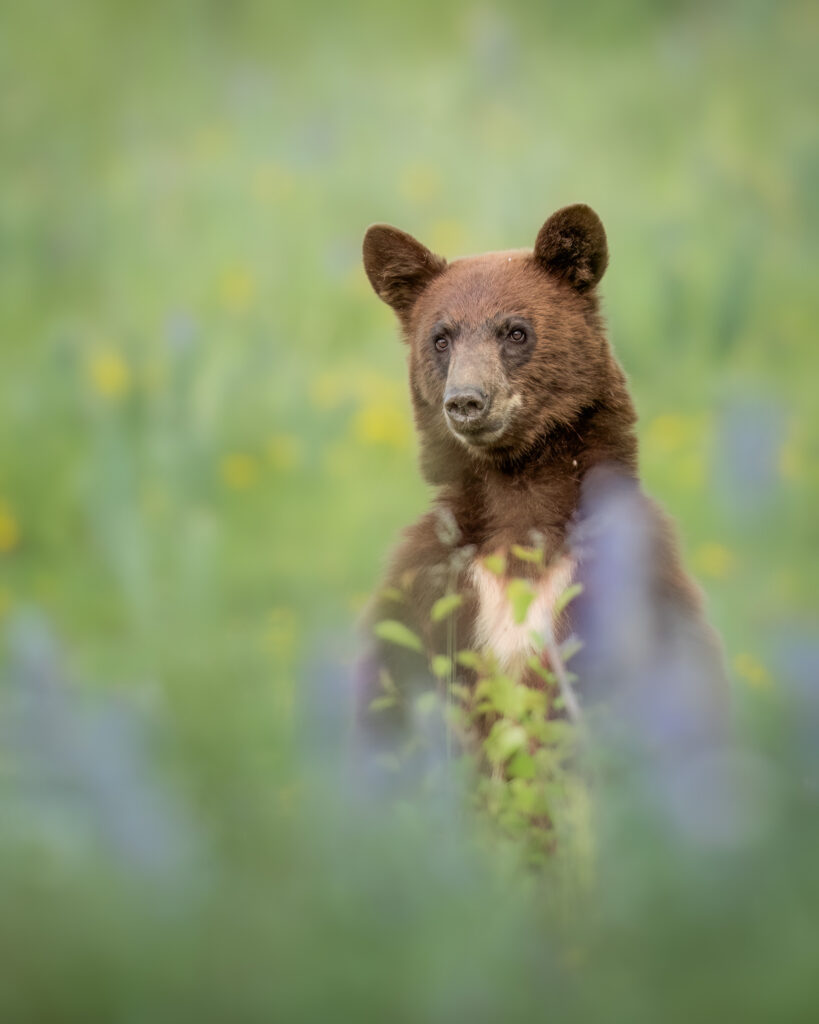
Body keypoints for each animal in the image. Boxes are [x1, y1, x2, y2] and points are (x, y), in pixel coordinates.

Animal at [358, 203, 728, 756]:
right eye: (441, 338)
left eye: (515, 331)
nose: (466, 401)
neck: (520, 497)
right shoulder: (429, 584)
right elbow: (394, 701)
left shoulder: (630, 579)